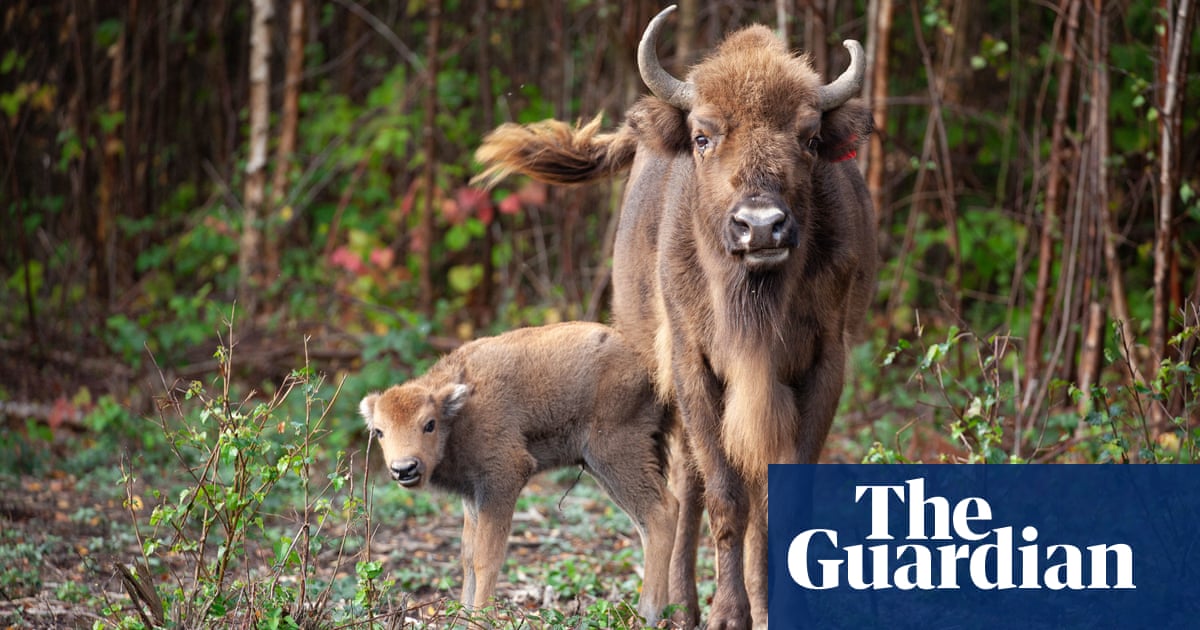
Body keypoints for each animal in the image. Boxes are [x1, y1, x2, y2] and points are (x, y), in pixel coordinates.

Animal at [357, 321, 676, 619]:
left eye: (429, 424)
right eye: (379, 431)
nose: (404, 468)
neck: (460, 413)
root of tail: (647, 364)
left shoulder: (503, 479)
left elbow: (486, 557)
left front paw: (480, 617)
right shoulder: (473, 494)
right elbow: (467, 555)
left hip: (614, 455)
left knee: (661, 513)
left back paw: (647, 612)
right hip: (605, 468)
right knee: (646, 524)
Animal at [472, 6, 878, 628]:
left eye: (809, 138)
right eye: (703, 136)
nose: (761, 227)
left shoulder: (823, 366)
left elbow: (778, 500)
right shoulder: (693, 365)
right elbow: (725, 497)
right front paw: (728, 614)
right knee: (689, 488)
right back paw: (683, 604)